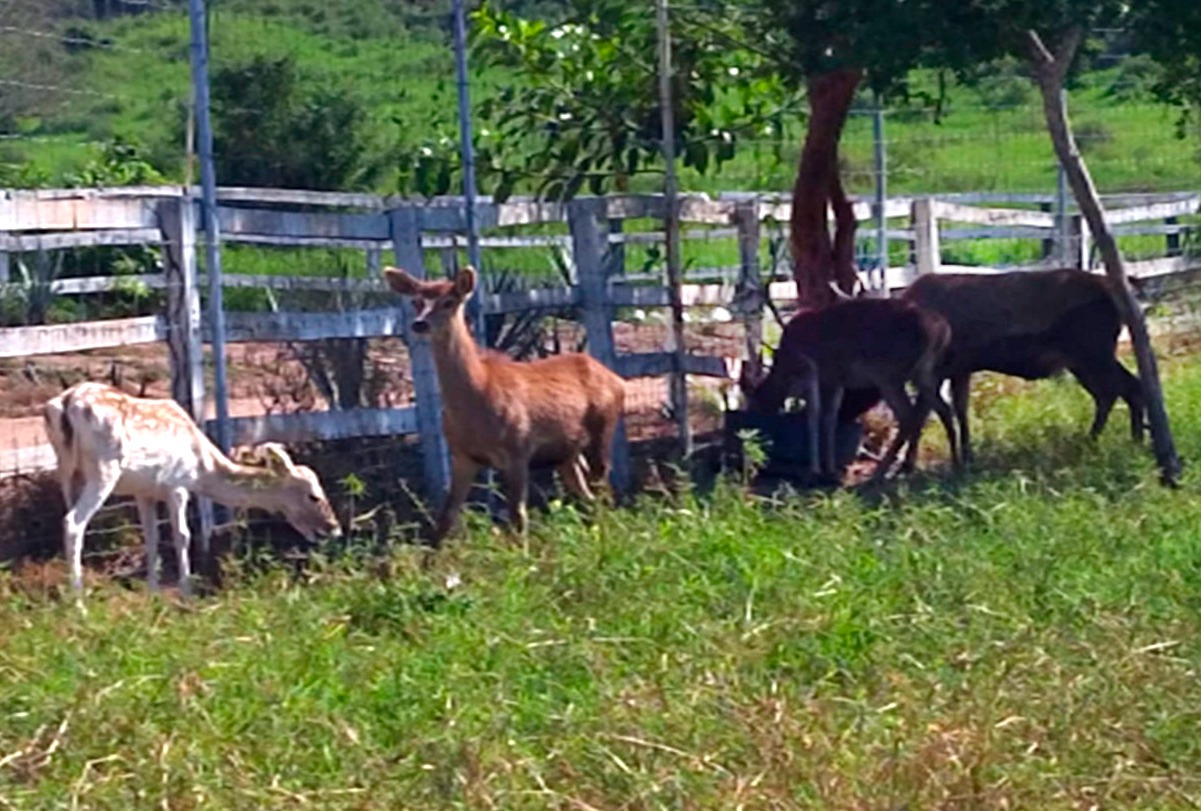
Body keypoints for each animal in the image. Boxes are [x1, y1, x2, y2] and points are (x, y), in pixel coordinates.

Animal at [43, 384, 343, 600]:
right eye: (313, 495)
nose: (334, 528)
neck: (202, 469)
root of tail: (63, 404)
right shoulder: (177, 483)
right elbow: (183, 535)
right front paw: (187, 593)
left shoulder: (144, 491)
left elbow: (152, 538)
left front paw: (153, 595)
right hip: (104, 468)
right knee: (73, 522)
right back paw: (79, 602)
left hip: (66, 470)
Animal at [384, 266, 629, 545]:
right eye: (416, 302)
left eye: (449, 301)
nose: (419, 323)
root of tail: (616, 379)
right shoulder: (463, 456)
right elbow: (445, 518)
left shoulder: (518, 449)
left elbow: (518, 516)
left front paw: (522, 555)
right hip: (566, 452)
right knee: (587, 496)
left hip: (603, 428)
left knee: (603, 492)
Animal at [735, 300, 960, 485]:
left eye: (752, 403)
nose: (752, 432)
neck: (787, 371)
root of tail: (943, 329)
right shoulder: (837, 381)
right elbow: (830, 418)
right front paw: (829, 470)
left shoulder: (819, 372)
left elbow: (815, 417)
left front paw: (815, 471)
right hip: (924, 373)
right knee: (942, 408)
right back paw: (957, 461)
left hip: (889, 373)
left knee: (908, 415)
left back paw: (879, 473)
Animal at [903, 269, 1143, 463]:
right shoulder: (960, 369)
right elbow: (959, 409)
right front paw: (968, 455)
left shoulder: (937, 370)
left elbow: (920, 414)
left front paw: (908, 464)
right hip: (1084, 360)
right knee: (1111, 392)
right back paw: (1101, 439)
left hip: (1093, 352)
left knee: (1127, 387)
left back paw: (1131, 441)